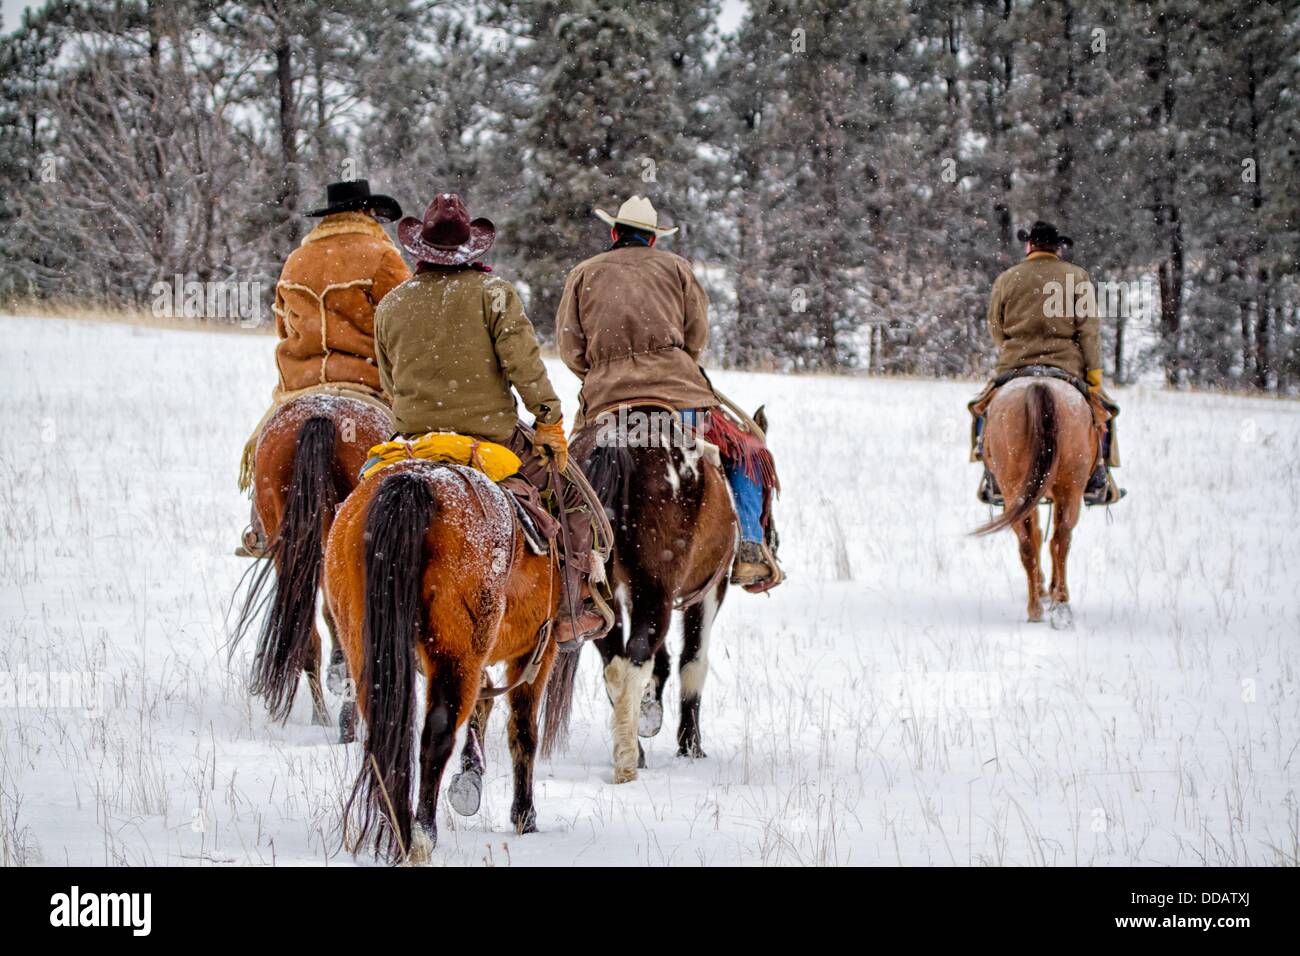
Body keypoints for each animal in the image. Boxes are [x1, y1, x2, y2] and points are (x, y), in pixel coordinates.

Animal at [322, 460, 561, 863]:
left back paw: (394, 825)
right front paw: (524, 815)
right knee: (438, 732)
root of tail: (417, 483)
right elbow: (524, 730)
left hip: (361, 637)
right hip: (457, 649)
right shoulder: (538, 651)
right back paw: (421, 833)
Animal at [559, 403, 769, 785]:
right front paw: (691, 746)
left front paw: (649, 711)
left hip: (600, 594)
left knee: (615, 659)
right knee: (638, 653)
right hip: (657, 589)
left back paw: (632, 744)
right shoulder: (708, 591)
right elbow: (693, 661)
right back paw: (628, 761)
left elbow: (664, 662)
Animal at [977, 377, 1097, 632]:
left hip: (1017, 491)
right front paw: (1047, 588)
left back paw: (1037, 609)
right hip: (1068, 489)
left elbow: (1036, 535)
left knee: (1029, 543)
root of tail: (1040, 385)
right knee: (1060, 540)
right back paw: (1057, 603)